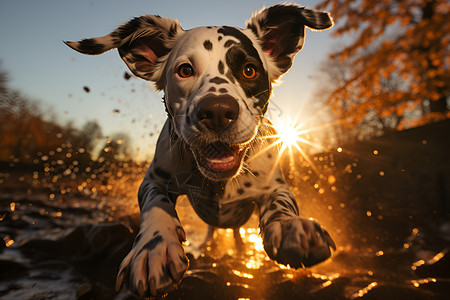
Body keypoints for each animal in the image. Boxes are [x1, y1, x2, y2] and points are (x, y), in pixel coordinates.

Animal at [66, 2, 334, 298]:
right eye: (185, 70)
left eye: (249, 70)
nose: (217, 111)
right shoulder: (153, 180)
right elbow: (155, 204)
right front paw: (154, 248)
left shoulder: (274, 185)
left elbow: (281, 201)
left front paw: (289, 227)